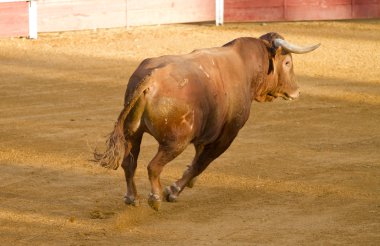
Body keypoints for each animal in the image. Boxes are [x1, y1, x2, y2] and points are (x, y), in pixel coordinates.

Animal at [93, 31, 320, 210]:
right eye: (288, 62)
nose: (297, 91)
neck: (246, 67)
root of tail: (152, 79)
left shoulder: (206, 135)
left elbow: (197, 160)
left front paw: (186, 183)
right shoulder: (227, 135)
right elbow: (202, 162)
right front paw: (173, 190)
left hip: (134, 134)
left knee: (129, 163)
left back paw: (132, 198)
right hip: (175, 142)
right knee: (153, 166)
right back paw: (155, 197)